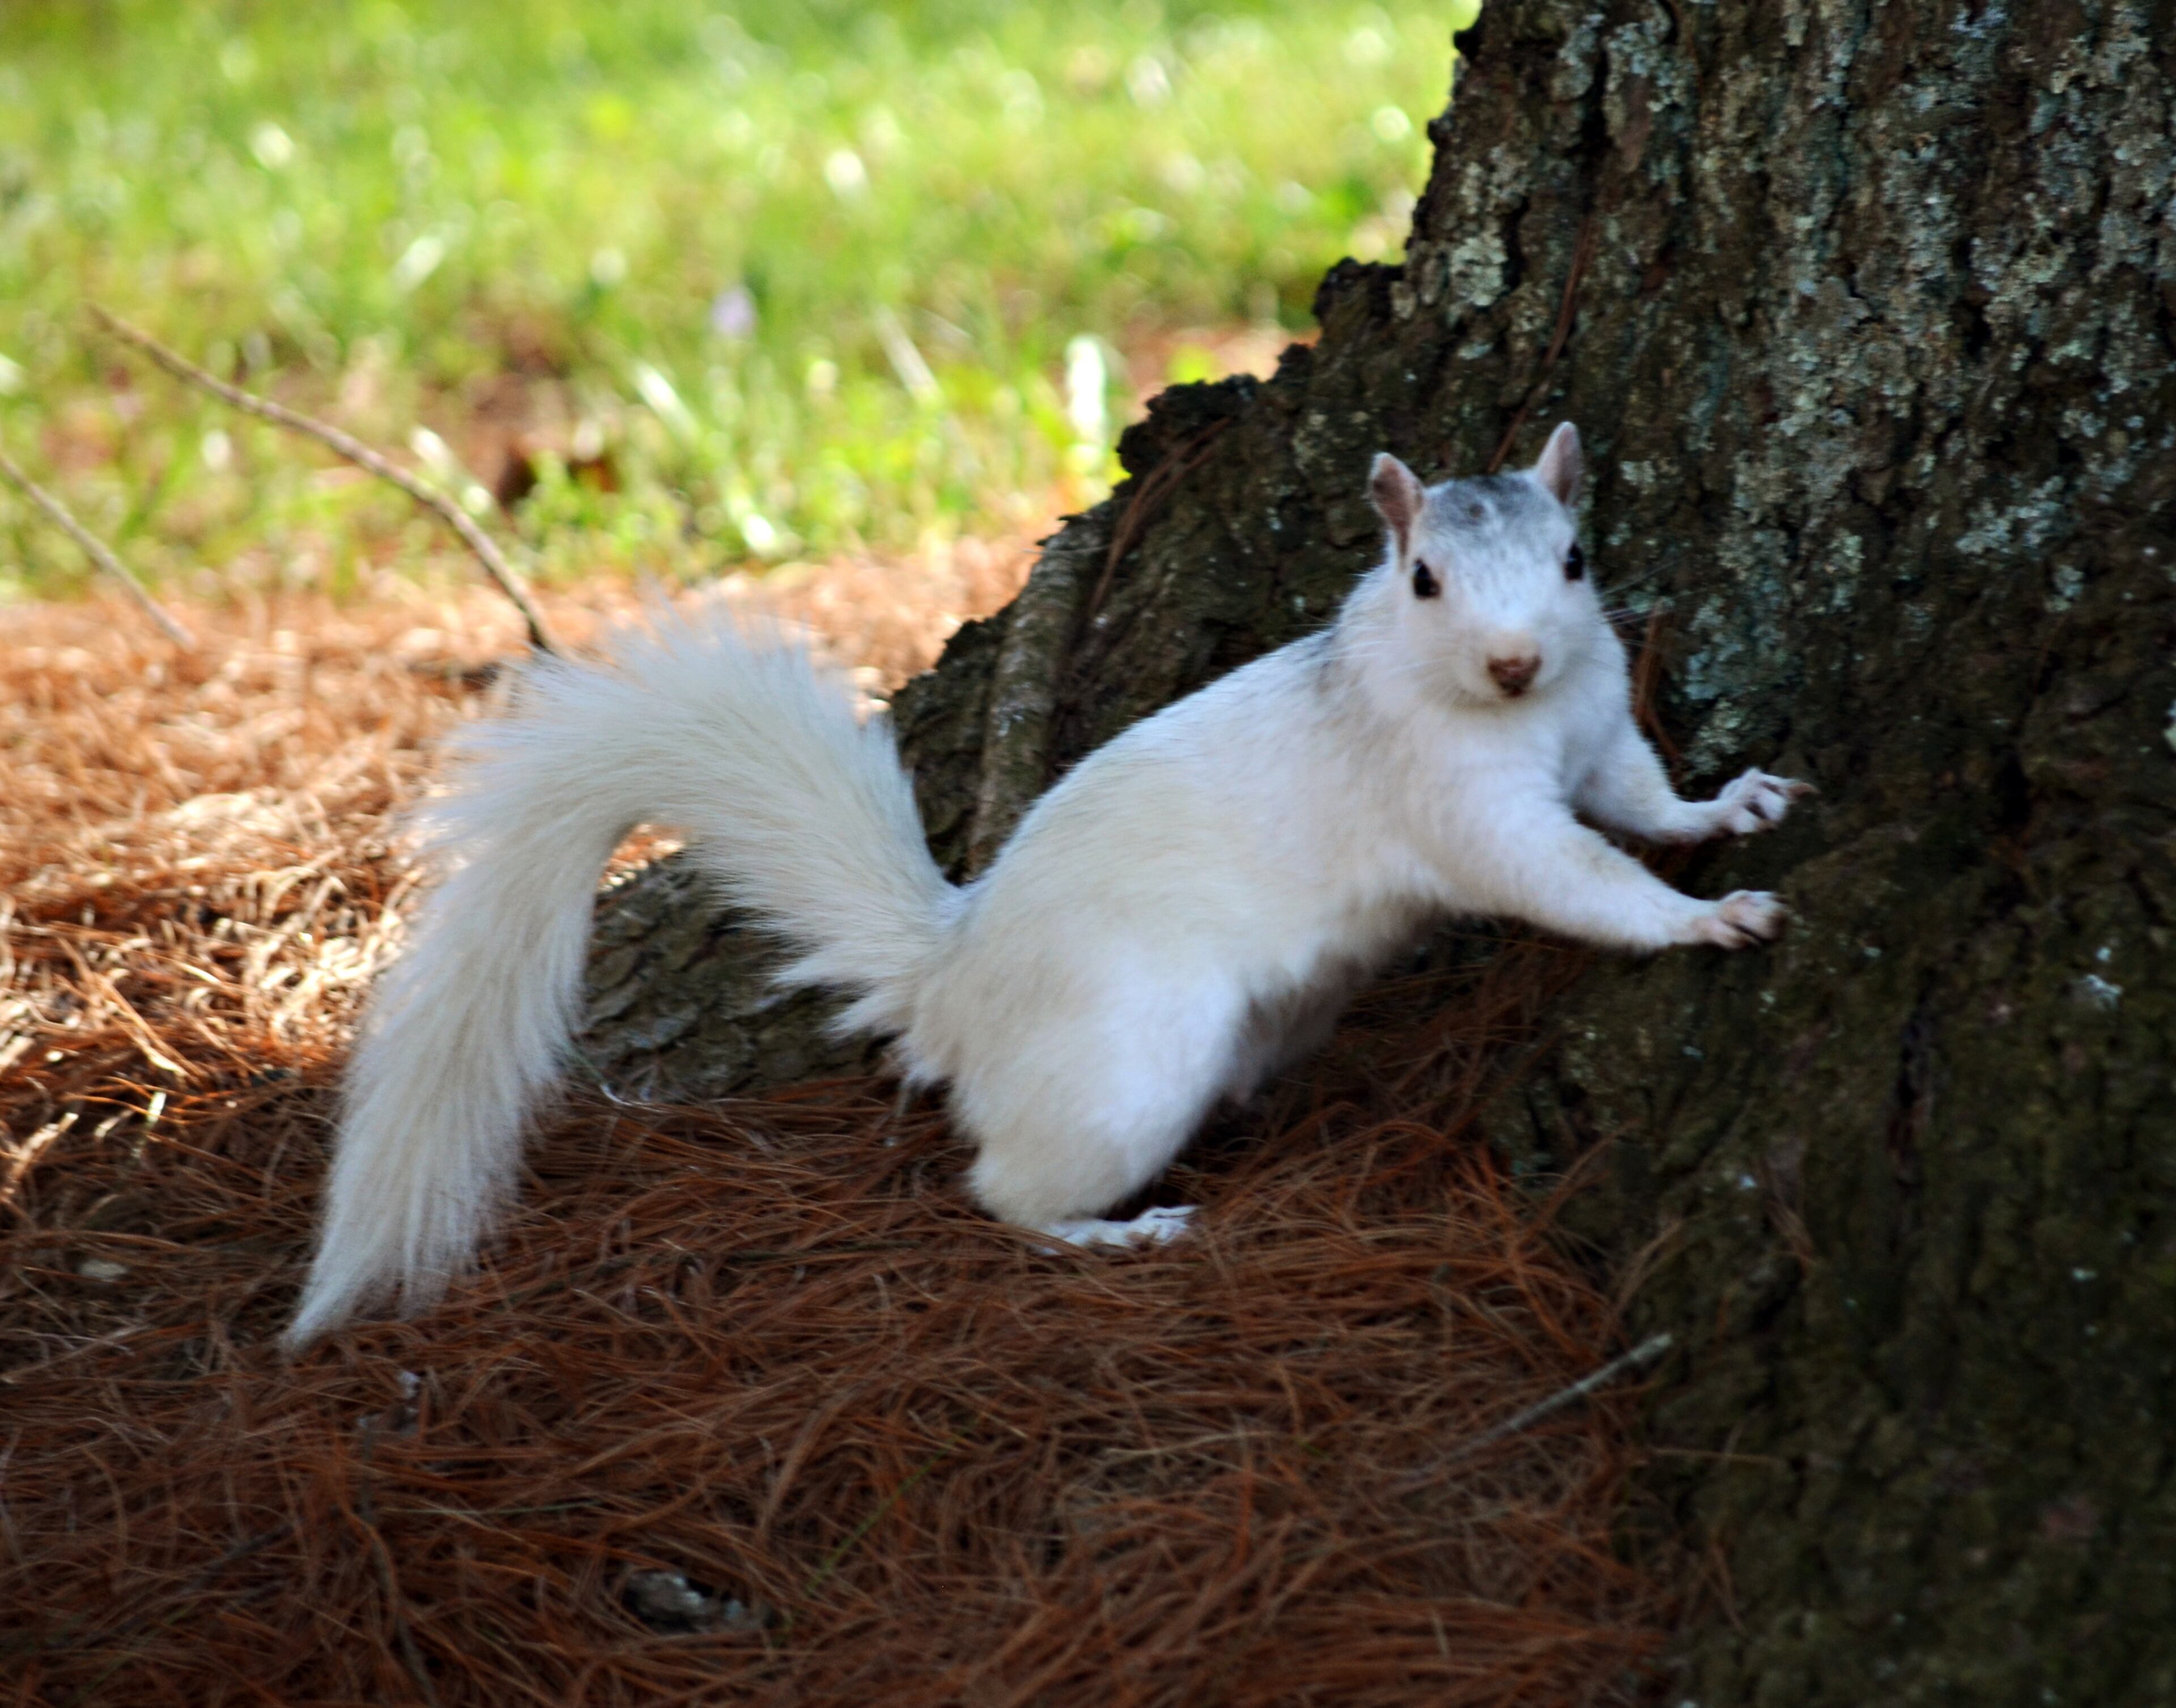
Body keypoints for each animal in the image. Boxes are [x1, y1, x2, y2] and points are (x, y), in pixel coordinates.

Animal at [286, 422, 1811, 1345]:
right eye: (1425, 578)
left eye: (1574, 558)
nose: (1511, 660)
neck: (1517, 715)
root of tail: (953, 985)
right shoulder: (1452, 798)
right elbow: (1572, 875)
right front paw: (1705, 918)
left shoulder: (1598, 727)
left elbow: (1640, 799)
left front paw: (1731, 806)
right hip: (1124, 1063)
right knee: (1001, 1190)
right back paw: (1116, 1232)